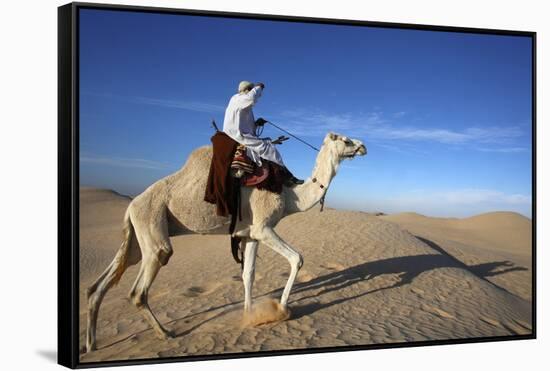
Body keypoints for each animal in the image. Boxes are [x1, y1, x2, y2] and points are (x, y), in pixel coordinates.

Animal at [85, 132, 366, 354]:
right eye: (345, 139)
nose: (363, 146)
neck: (290, 196)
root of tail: (131, 205)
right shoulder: (264, 227)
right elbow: (297, 258)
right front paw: (281, 309)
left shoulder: (251, 234)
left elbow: (248, 274)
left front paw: (249, 316)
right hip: (153, 228)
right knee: (139, 288)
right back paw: (165, 333)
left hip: (137, 235)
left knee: (101, 283)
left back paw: (91, 344)